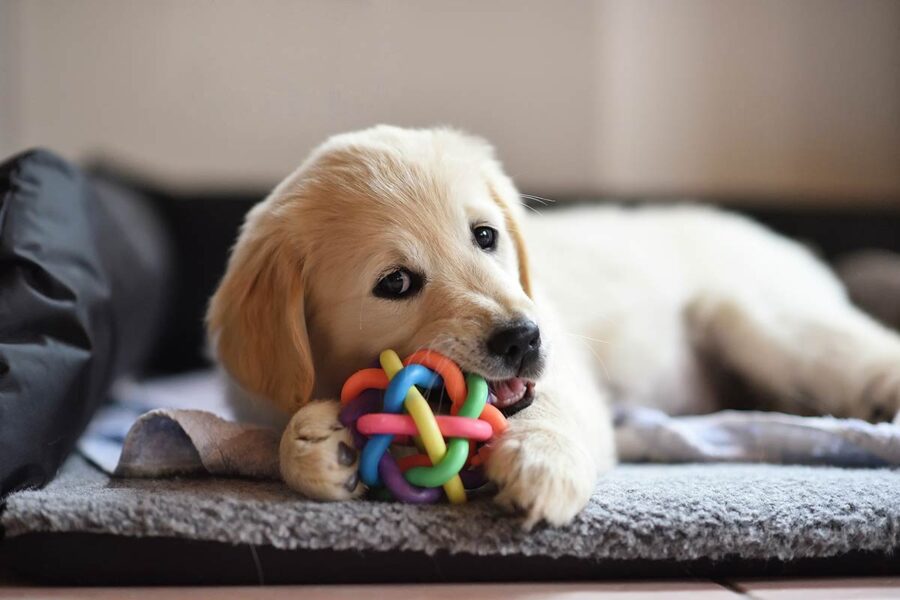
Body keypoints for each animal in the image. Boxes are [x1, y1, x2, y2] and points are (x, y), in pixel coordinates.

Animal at [211, 125, 900, 524]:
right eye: (396, 283)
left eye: (485, 236)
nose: (523, 338)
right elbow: (282, 434)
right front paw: (318, 443)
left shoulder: (567, 375)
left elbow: (547, 409)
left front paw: (541, 464)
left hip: (760, 320)